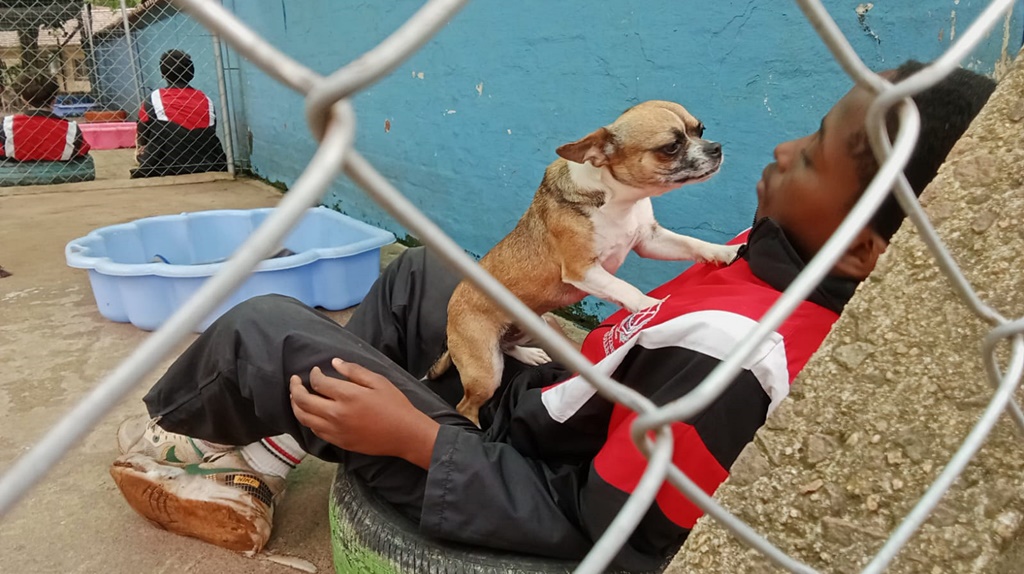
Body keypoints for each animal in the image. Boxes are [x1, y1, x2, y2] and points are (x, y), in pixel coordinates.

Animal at [428, 99, 741, 425]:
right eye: (671, 147)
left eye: (700, 130)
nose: (716, 147)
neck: (619, 200)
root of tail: (451, 317)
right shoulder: (584, 270)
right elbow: (626, 289)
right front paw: (649, 307)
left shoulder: (650, 241)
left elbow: (692, 244)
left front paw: (726, 252)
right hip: (486, 371)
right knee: (467, 405)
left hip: (533, 322)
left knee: (508, 344)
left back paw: (528, 354)